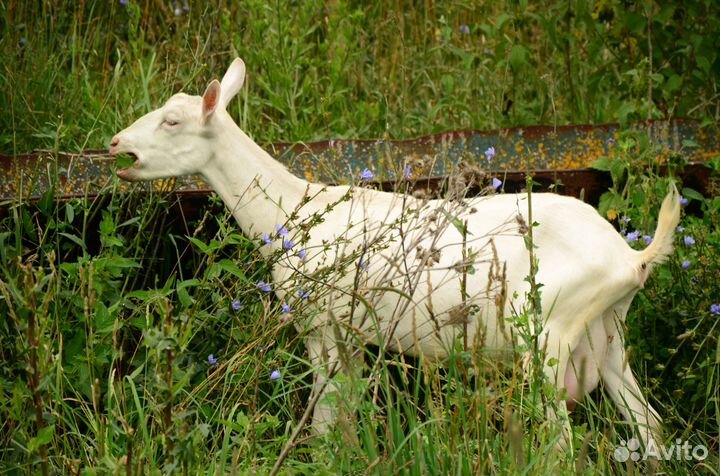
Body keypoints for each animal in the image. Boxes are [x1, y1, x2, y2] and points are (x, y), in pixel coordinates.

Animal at [110, 57, 681, 451]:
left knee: (563, 442)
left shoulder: (321, 323)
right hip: (608, 333)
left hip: (546, 333)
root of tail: (632, 259)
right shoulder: (352, 333)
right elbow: (347, 413)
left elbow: (325, 419)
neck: (291, 212)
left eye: (172, 122)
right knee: (650, 427)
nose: (116, 144)